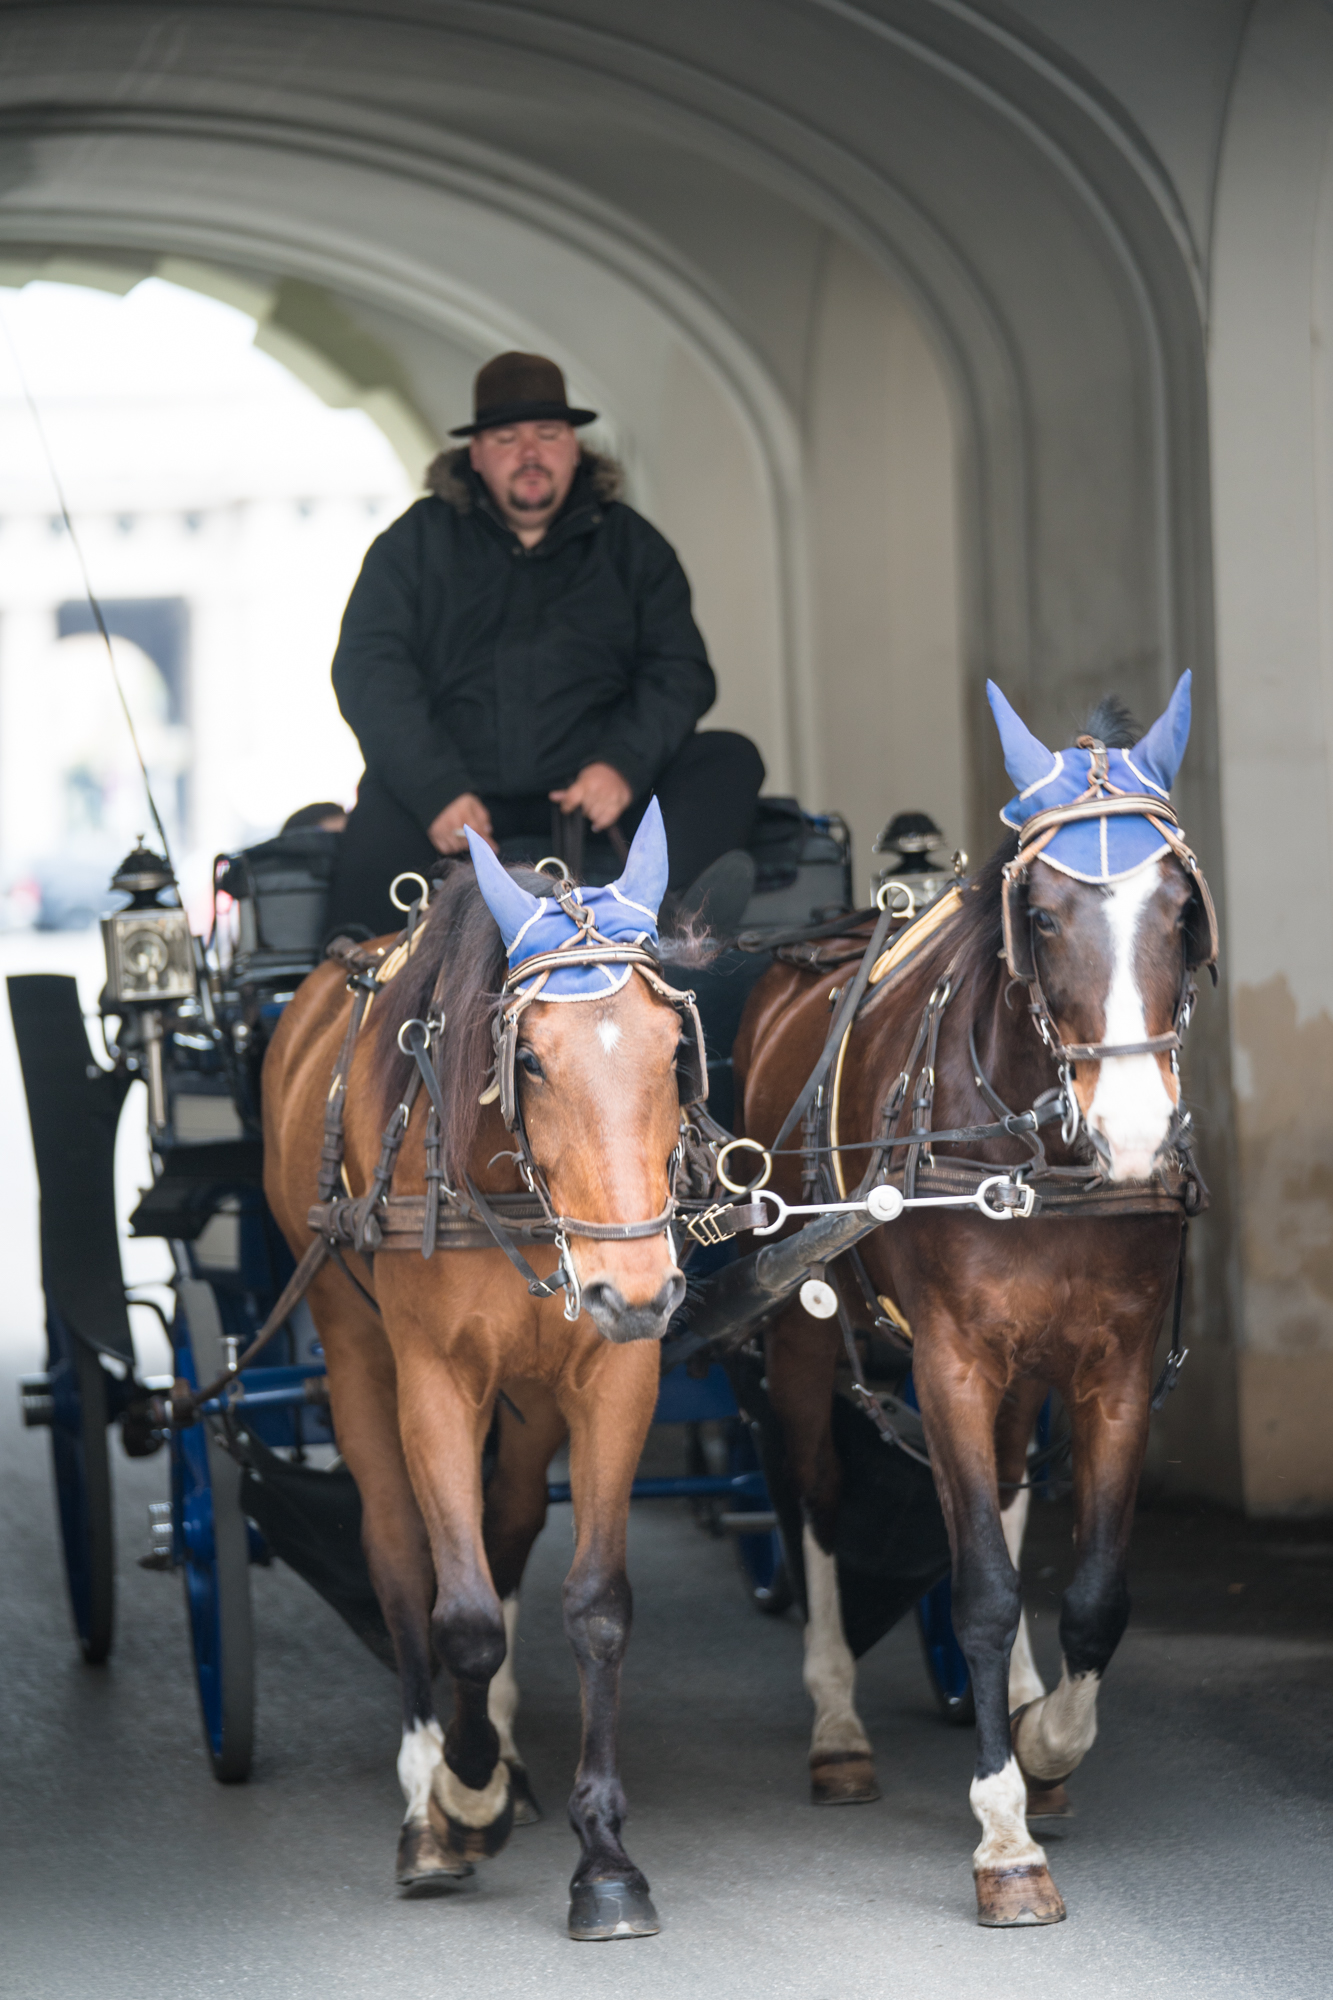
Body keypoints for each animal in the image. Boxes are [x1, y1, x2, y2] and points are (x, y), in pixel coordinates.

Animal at [264, 812, 688, 1936]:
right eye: (529, 1057)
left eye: (676, 1049)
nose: (638, 1286)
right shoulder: (434, 1379)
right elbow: (454, 1613)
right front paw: (461, 1792)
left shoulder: (615, 1375)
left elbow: (595, 1603)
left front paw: (605, 1859)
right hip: (352, 1348)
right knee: (400, 1551)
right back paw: (437, 1792)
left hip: (533, 1399)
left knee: (503, 1531)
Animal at [732, 684, 1208, 1920]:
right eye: (1039, 914)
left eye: (1181, 909)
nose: (1135, 1130)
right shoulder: (948, 1359)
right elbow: (982, 1588)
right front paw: (1002, 1837)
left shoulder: (1114, 1365)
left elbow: (1093, 1592)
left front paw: (1043, 1741)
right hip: (799, 1338)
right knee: (812, 1497)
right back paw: (837, 1726)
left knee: (996, 1487)